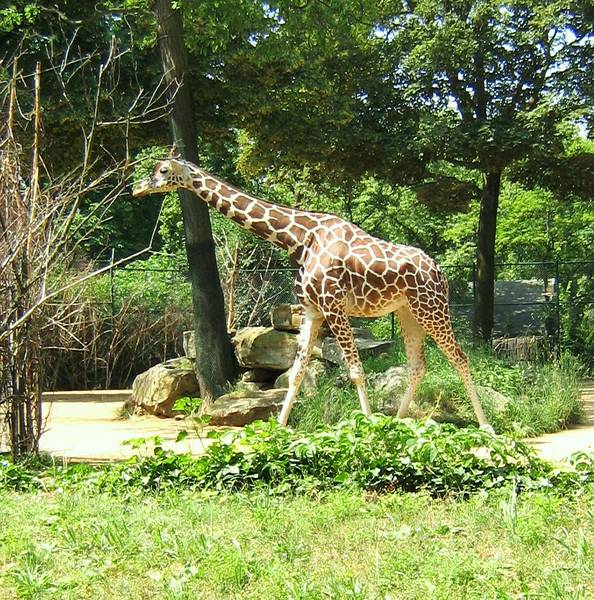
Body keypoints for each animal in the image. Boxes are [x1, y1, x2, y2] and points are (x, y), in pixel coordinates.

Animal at [134, 158, 490, 432]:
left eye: (162, 170)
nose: (138, 187)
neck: (299, 238)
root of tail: (440, 272)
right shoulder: (311, 311)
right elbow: (296, 373)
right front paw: (279, 427)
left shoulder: (333, 306)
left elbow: (356, 371)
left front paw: (369, 425)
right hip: (408, 311)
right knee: (418, 366)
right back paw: (399, 422)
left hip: (432, 307)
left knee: (460, 357)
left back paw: (485, 425)